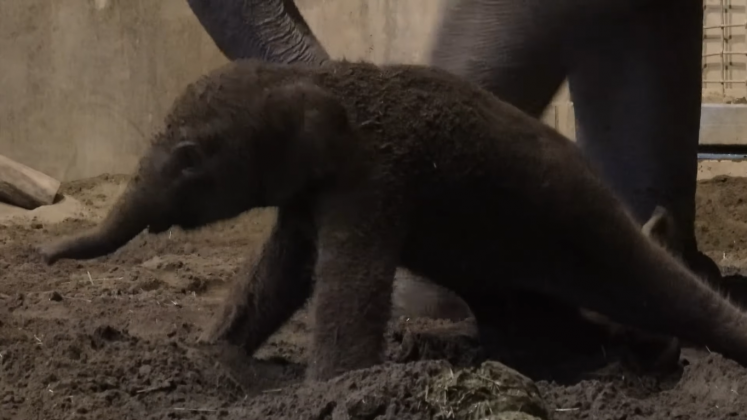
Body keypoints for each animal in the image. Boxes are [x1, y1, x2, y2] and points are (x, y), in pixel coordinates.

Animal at [38, 57, 747, 382]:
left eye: (189, 158)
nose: (42, 256)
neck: (317, 77)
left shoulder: (374, 181)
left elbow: (340, 285)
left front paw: (333, 387)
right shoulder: (309, 197)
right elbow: (276, 277)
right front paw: (216, 356)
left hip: (582, 224)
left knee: (653, 288)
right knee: (540, 324)